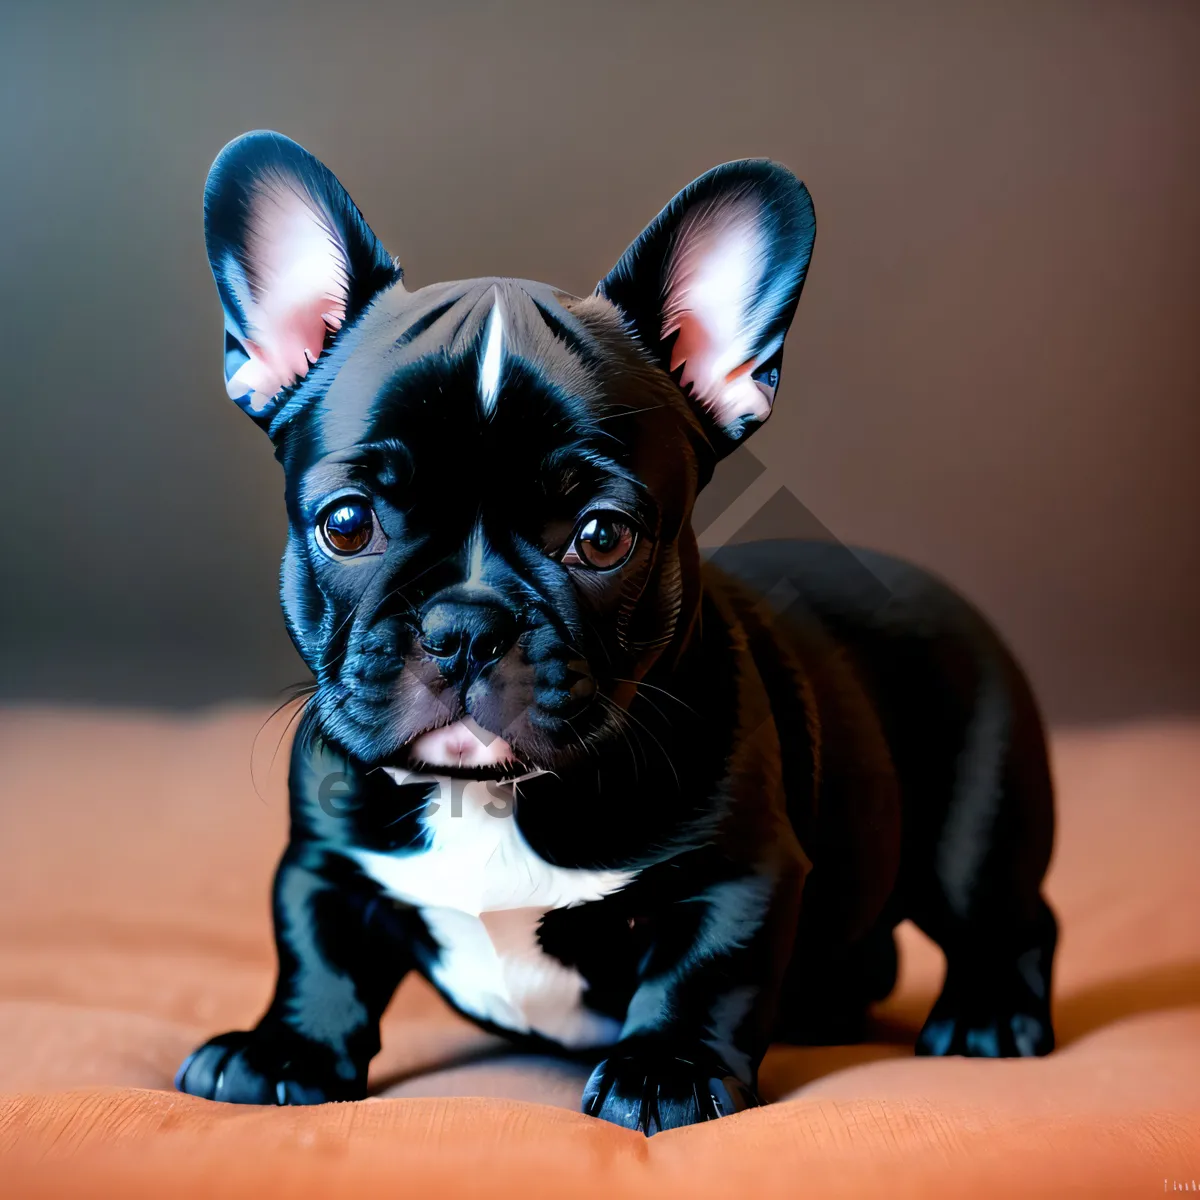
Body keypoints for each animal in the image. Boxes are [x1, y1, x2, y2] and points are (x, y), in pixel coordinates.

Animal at [174, 133, 1056, 1132]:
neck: (489, 796)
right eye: (349, 524)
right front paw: (287, 1049)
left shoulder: (736, 873)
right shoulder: (324, 861)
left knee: (1010, 918)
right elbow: (318, 953)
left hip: (978, 826)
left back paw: (990, 1016)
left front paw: (665, 1069)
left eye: (601, 538)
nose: (465, 625)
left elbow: (702, 971)